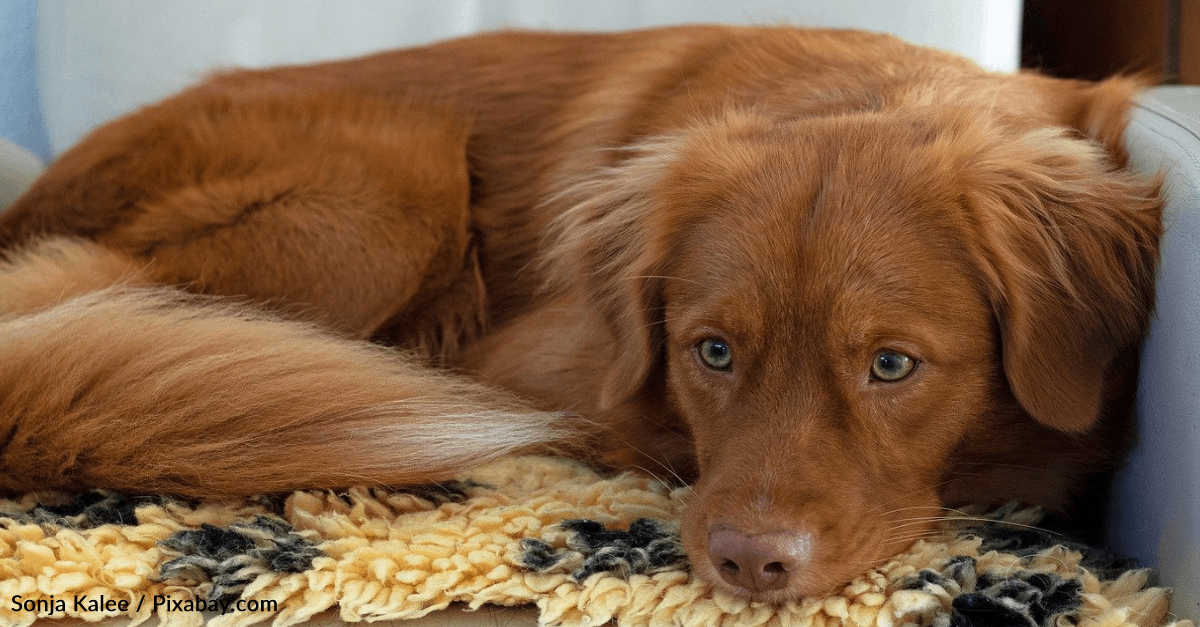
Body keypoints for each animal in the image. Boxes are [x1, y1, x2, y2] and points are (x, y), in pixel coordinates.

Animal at [0, 25, 1161, 600]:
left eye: (891, 366)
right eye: (713, 351)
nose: (750, 563)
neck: (873, 94)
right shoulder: (534, 363)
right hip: (388, 194)